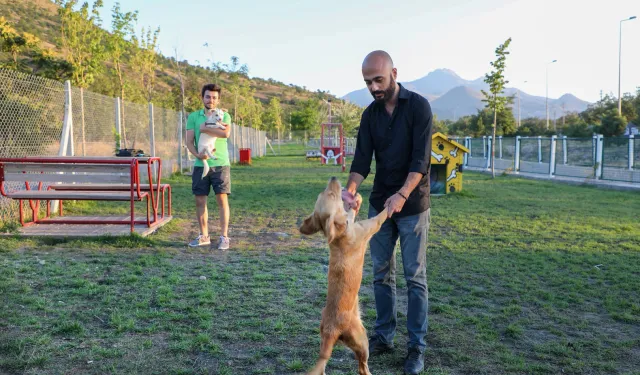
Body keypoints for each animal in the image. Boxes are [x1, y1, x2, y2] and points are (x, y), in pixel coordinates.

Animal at [302, 177, 390, 375]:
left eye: (325, 192)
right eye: (331, 194)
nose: (333, 178)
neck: (340, 233)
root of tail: (331, 332)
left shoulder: (351, 218)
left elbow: (351, 211)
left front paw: (356, 200)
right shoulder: (370, 227)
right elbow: (381, 216)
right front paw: (393, 203)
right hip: (362, 341)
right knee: (362, 368)